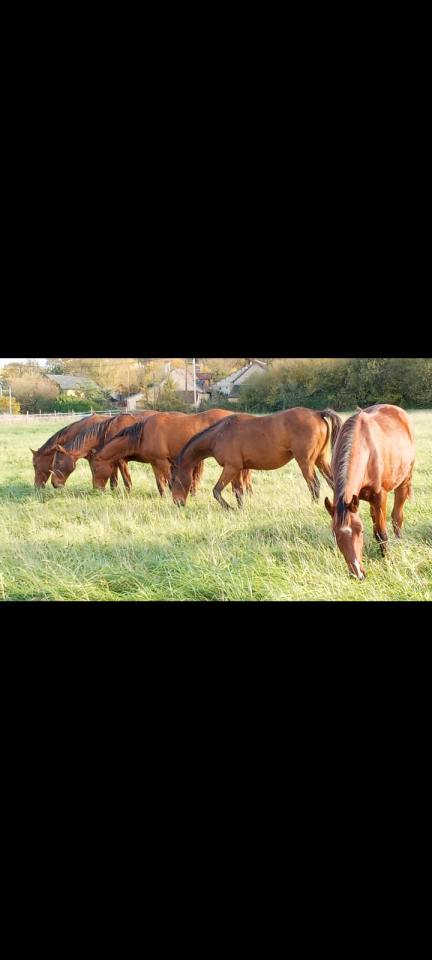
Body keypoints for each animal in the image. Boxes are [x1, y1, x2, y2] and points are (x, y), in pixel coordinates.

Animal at [89, 409, 254, 496]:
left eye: (95, 469)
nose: (96, 489)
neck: (144, 434)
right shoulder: (155, 463)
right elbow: (160, 483)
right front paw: (162, 497)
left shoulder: (163, 462)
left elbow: (169, 481)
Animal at [169, 407, 342, 509]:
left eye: (173, 480)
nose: (178, 503)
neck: (219, 434)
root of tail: (317, 413)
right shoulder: (237, 469)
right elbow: (238, 491)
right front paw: (240, 509)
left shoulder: (231, 468)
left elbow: (217, 491)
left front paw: (229, 508)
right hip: (321, 460)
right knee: (332, 482)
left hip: (306, 462)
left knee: (314, 485)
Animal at [324, 404, 415, 580]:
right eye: (334, 534)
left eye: (360, 531)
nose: (357, 574)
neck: (365, 448)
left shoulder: (380, 496)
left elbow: (381, 533)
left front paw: (386, 559)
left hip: (404, 480)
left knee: (397, 516)